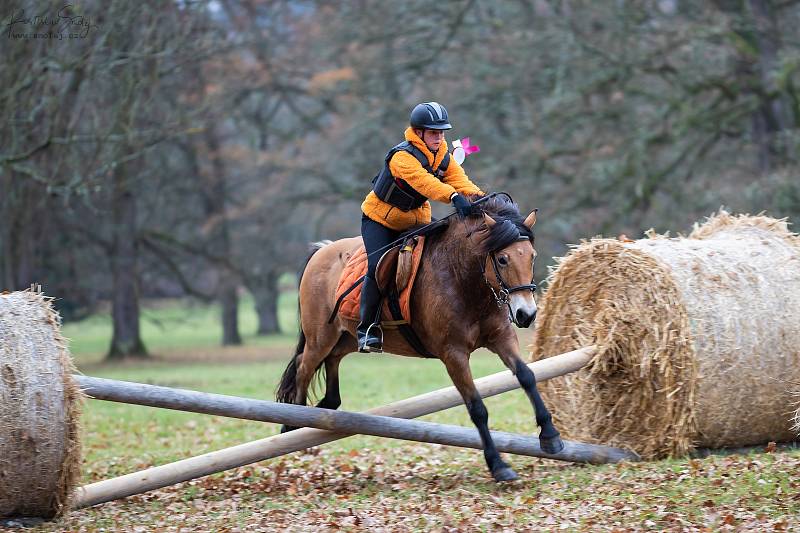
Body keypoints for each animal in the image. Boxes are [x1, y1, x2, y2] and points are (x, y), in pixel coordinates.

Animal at [278, 194, 564, 482]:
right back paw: (292, 425)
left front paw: (550, 436)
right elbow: (477, 408)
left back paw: (324, 406)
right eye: (503, 259)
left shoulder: (501, 338)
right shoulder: (453, 354)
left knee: (332, 360)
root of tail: (321, 251)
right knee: (303, 368)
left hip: (345, 336)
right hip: (320, 337)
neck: (463, 279)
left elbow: (527, 376)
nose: (526, 314)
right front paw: (498, 465)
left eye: (532, 256)